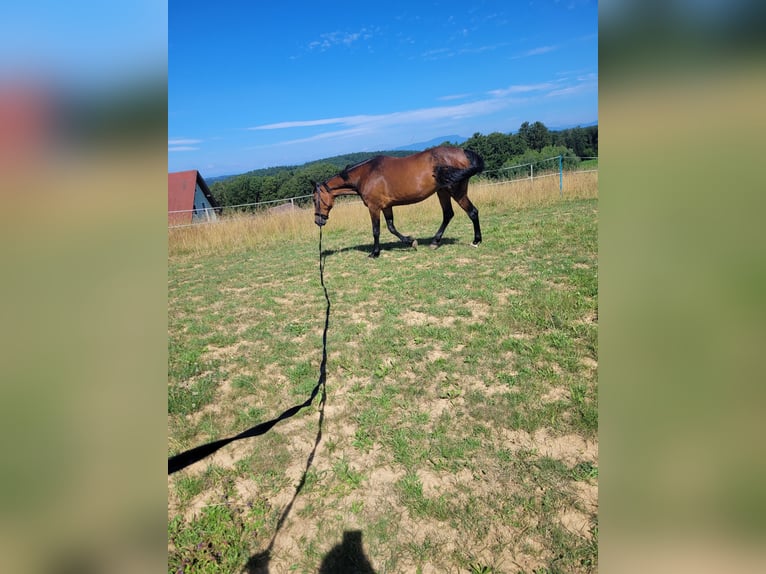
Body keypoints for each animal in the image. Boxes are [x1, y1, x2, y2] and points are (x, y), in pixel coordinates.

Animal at [314, 146, 486, 258]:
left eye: (315, 200)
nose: (318, 221)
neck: (366, 174)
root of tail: (462, 152)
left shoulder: (374, 207)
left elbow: (376, 230)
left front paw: (374, 253)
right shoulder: (386, 207)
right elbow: (391, 227)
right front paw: (411, 242)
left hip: (456, 191)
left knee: (472, 212)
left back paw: (476, 241)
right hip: (442, 191)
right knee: (448, 214)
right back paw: (435, 242)